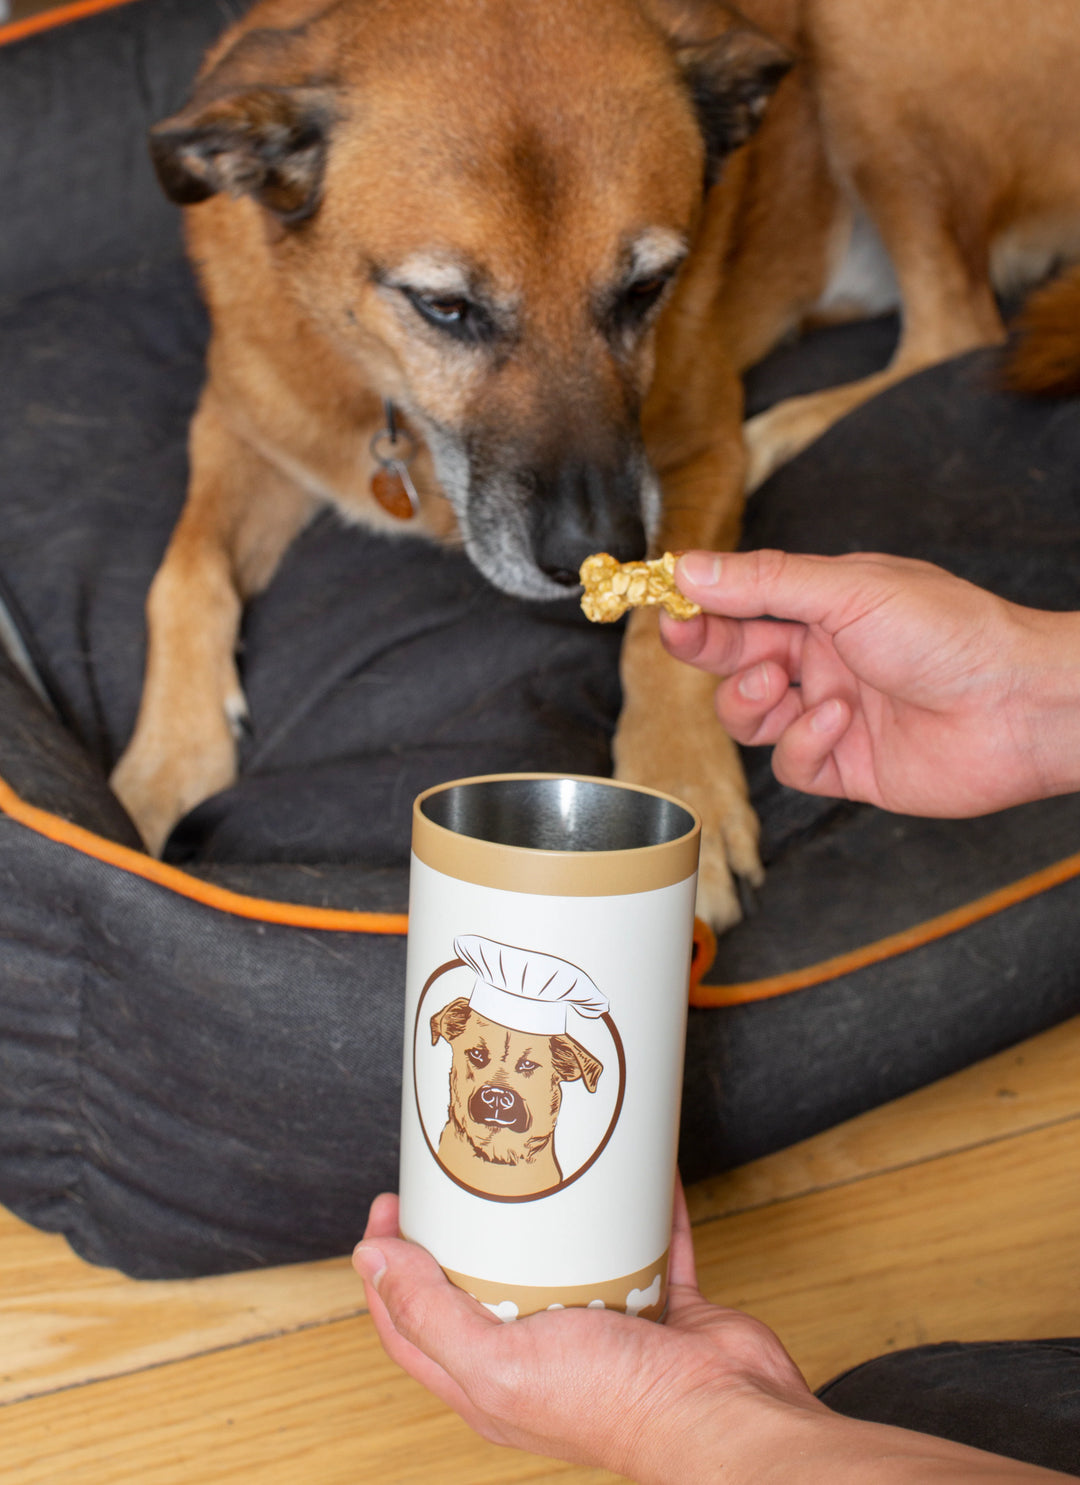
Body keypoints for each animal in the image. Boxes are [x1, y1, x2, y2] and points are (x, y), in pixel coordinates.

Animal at [112, 0, 1080, 926]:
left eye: (648, 287)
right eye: (444, 307)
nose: (595, 548)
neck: (391, 402)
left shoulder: (698, 446)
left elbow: (665, 642)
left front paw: (682, 782)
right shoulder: (238, 424)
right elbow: (182, 572)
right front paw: (161, 768)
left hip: (870, 50)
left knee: (957, 330)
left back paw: (779, 430)